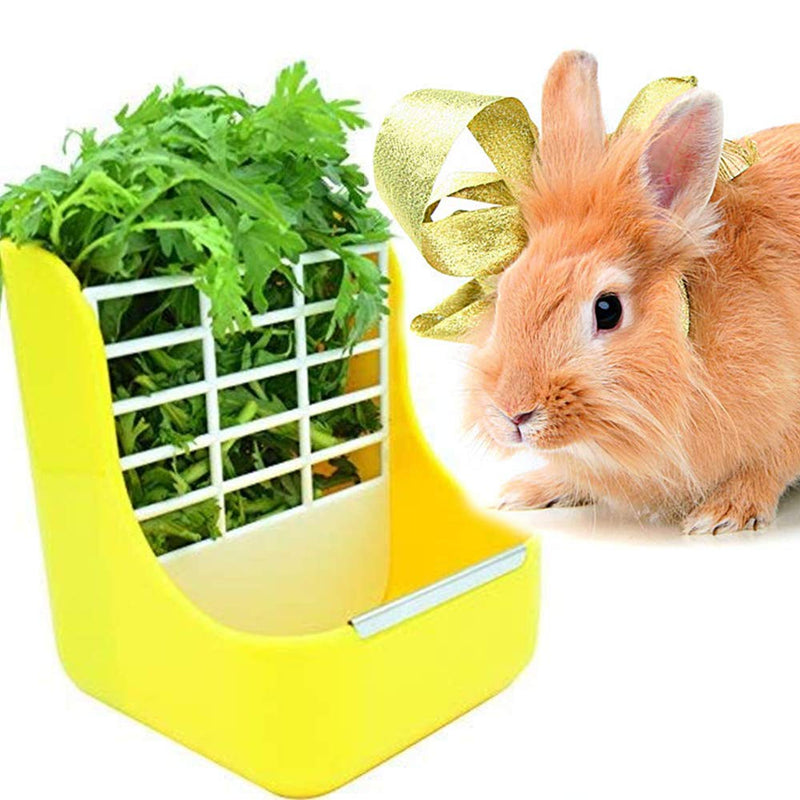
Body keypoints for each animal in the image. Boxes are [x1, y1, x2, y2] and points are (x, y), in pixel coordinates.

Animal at [466, 50, 800, 534]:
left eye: (607, 309)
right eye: (508, 287)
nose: (513, 412)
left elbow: (768, 466)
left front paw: (723, 514)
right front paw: (530, 490)